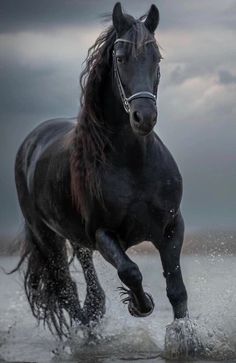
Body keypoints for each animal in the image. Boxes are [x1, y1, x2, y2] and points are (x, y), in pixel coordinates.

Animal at [14, 2, 188, 338]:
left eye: (156, 58)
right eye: (120, 58)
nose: (144, 117)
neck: (133, 165)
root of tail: (32, 141)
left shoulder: (171, 226)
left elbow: (176, 289)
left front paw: (187, 337)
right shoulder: (103, 233)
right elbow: (130, 271)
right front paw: (140, 305)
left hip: (75, 237)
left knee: (88, 283)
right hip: (48, 239)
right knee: (66, 292)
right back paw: (89, 336)